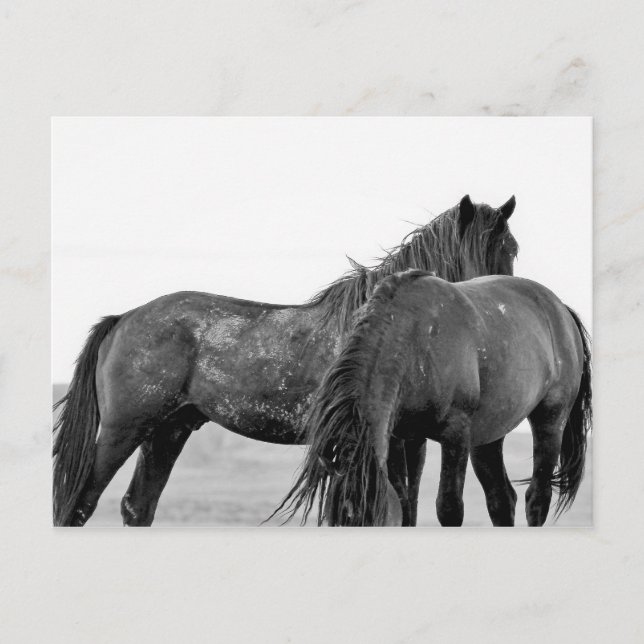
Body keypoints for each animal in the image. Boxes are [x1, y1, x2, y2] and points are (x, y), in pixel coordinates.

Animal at [53, 195, 519, 527]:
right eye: (503, 248)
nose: (508, 307)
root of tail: (123, 319)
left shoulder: (409, 441)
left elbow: (405, 509)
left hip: (168, 431)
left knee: (138, 506)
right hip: (124, 429)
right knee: (78, 503)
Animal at [275, 270, 591, 527]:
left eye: (372, 519)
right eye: (336, 519)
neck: (417, 339)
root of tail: (561, 310)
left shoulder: (455, 435)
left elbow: (449, 507)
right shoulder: (404, 437)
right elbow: (406, 503)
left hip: (550, 421)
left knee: (537, 498)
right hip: (488, 437)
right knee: (502, 501)